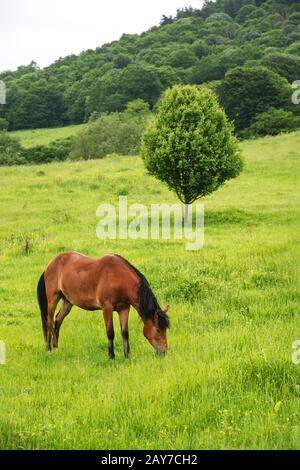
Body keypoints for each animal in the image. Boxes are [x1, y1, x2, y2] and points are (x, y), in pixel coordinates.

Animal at [35, 252, 169, 358]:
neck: (118, 278)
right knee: (49, 322)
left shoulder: (124, 309)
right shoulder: (107, 308)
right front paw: (111, 356)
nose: (164, 351)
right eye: (158, 330)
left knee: (57, 321)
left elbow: (125, 333)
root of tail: (49, 265)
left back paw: (56, 347)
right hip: (52, 300)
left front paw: (127, 355)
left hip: (68, 302)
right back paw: (49, 349)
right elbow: (110, 333)